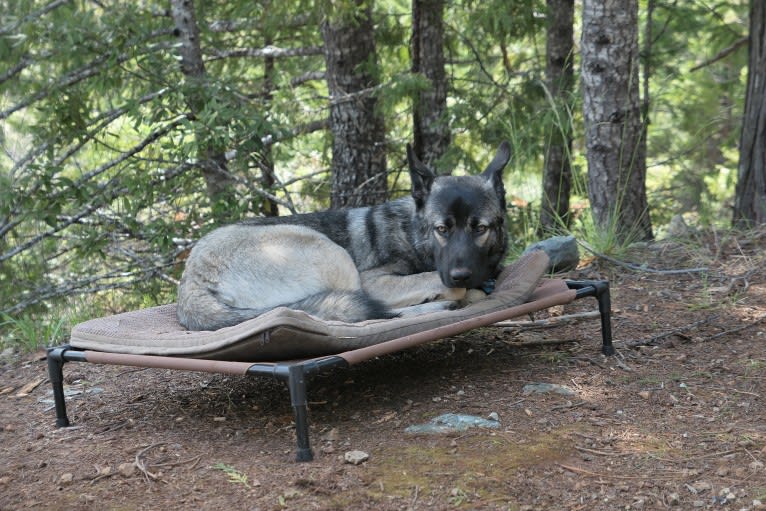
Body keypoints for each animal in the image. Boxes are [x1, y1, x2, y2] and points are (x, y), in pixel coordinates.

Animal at [177, 142, 512, 330]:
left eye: (480, 228)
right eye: (442, 229)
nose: (460, 274)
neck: (412, 234)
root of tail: (192, 278)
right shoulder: (375, 280)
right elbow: (450, 286)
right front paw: (457, 293)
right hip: (331, 253)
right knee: (357, 314)